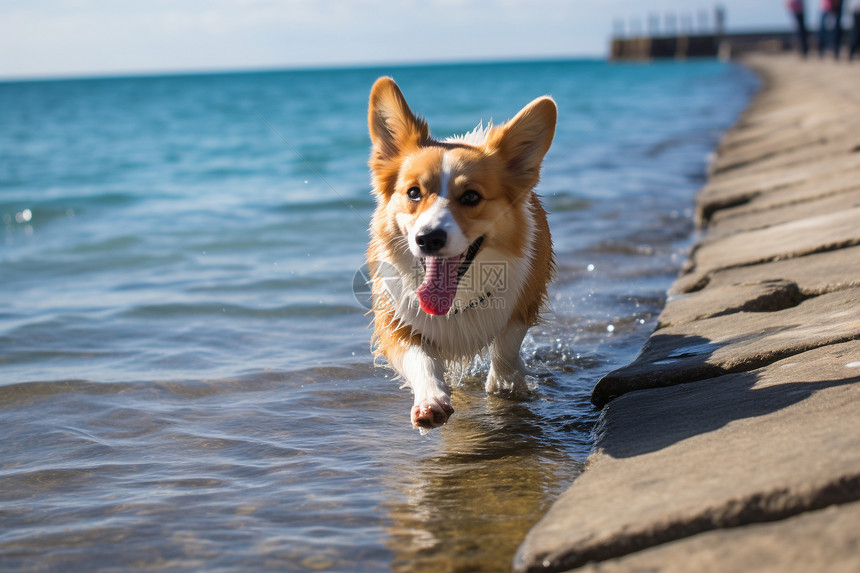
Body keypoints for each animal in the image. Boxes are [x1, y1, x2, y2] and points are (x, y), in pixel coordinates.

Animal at [364, 78, 556, 432]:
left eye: (471, 197)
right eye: (413, 193)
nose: (428, 238)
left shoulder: (525, 301)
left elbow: (507, 345)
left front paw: (504, 385)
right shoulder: (394, 319)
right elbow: (420, 359)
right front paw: (431, 400)